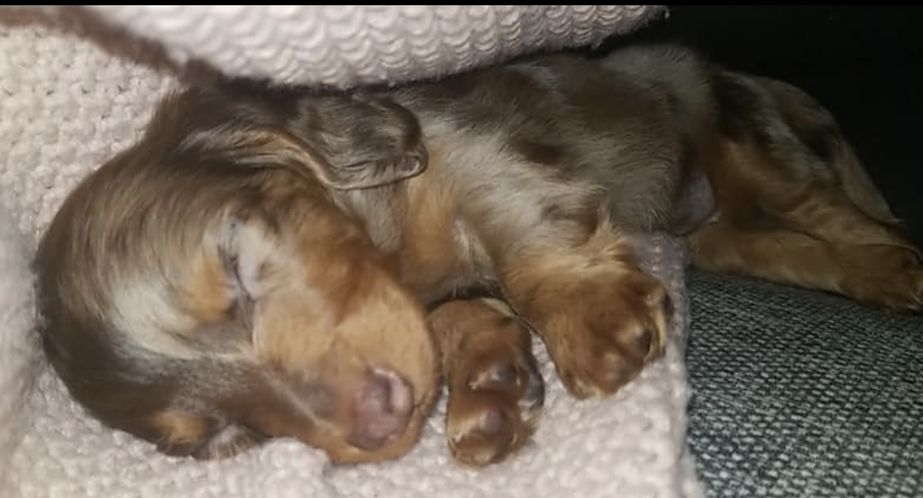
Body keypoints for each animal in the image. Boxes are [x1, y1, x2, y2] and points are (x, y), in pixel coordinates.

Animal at [34, 43, 923, 468]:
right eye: (222, 437)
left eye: (237, 266)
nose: (380, 423)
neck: (387, 235)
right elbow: (451, 318)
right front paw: (490, 379)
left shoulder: (474, 153)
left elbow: (518, 231)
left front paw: (585, 318)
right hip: (718, 239)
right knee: (785, 247)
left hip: (743, 140)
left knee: (838, 218)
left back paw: (895, 266)